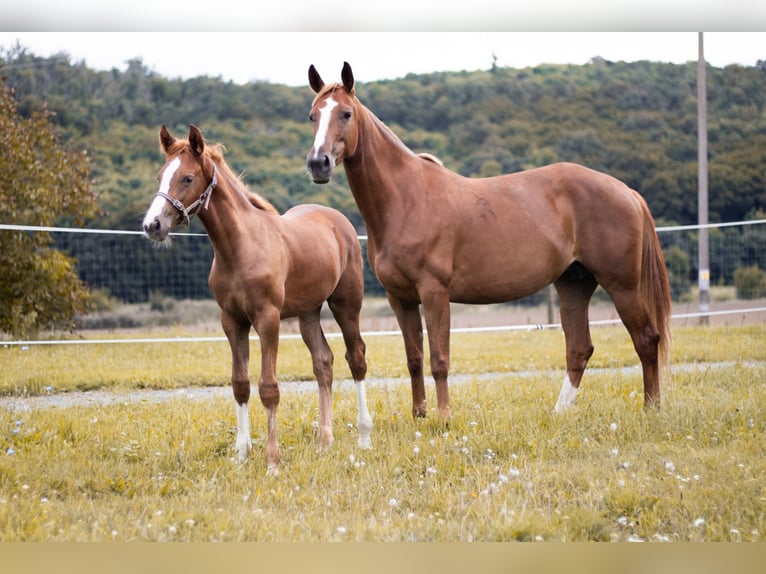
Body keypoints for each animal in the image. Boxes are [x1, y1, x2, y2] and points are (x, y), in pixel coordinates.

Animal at [146, 124, 374, 474]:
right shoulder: (232, 321)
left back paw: (363, 438)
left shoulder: (267, 319)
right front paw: (242, 454)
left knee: (356, 357)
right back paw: (324, 441)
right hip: (308, 312)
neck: (241, 248)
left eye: (186, 177)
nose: (152, 225)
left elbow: (269, 388)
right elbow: (240, 383)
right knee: (323, 362)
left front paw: (272, 462)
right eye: (160, 175)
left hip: (346, 304)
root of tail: (339, 221)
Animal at [306, 64, 672, 424]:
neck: (406, 199)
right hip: (574, 283)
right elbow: (414, 358)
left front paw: (444, 419)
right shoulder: (400, 298)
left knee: (646, 338)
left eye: (346, 113)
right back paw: (559, 413)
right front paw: (419, 417)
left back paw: (651, 408)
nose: (318, 163)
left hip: (622, 286)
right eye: (312, 115)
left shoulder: (434, 293)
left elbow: (439, 359)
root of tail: (626, 191)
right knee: (579, 348)